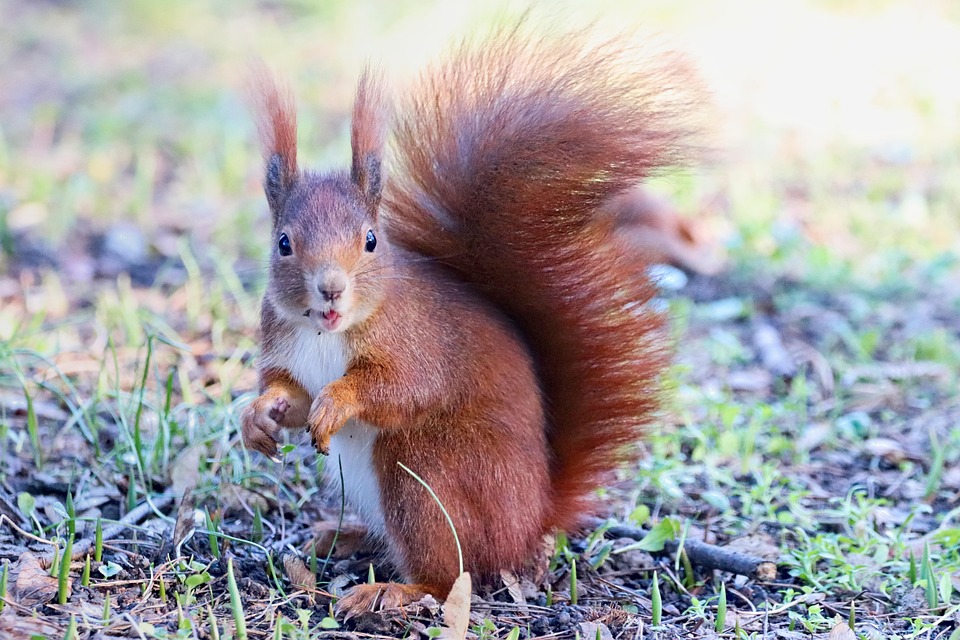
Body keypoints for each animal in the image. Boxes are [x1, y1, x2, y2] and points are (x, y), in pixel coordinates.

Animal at [240, 23, 695, 614]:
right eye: (283, 243)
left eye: (371, 240)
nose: (331, 289)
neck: (325, 332)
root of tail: (534, 520)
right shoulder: (286, 345)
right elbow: (289, 396)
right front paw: (258, 416)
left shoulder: (418, 343)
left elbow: (406, 387)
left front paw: (338, 400)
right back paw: (344, 536)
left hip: (429, 467)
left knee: (452, 574)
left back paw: (391, 589)